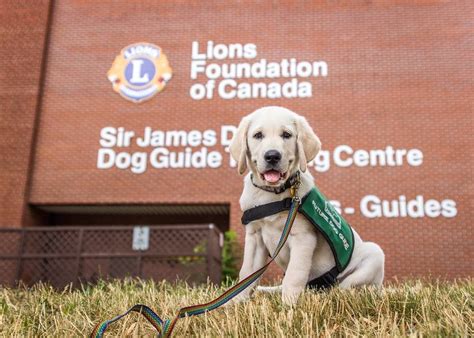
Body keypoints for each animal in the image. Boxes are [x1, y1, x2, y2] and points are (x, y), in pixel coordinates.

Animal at [231, 107, 386, 304]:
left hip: (374, 254)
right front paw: (234, 303)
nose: (272, 156)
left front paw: (289, 305)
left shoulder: (303, 237)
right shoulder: (255, 237)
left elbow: (294, 275)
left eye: (287, 135)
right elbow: (247, 273)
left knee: (345, 287)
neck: (272, 194)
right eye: (258, 135)